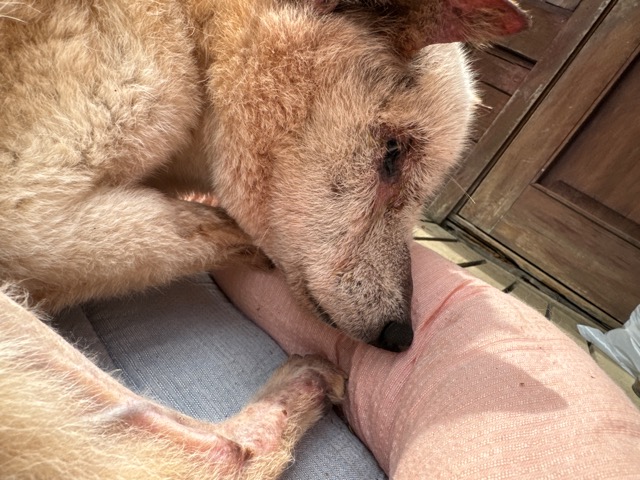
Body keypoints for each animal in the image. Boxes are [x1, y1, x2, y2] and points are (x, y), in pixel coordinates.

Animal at [0, 0, 528, 478]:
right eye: (393, 154)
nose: (402, 337)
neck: (200, 40)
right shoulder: (31, 209)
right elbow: (195, 226)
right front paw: (246, 244)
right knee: (210, 459)